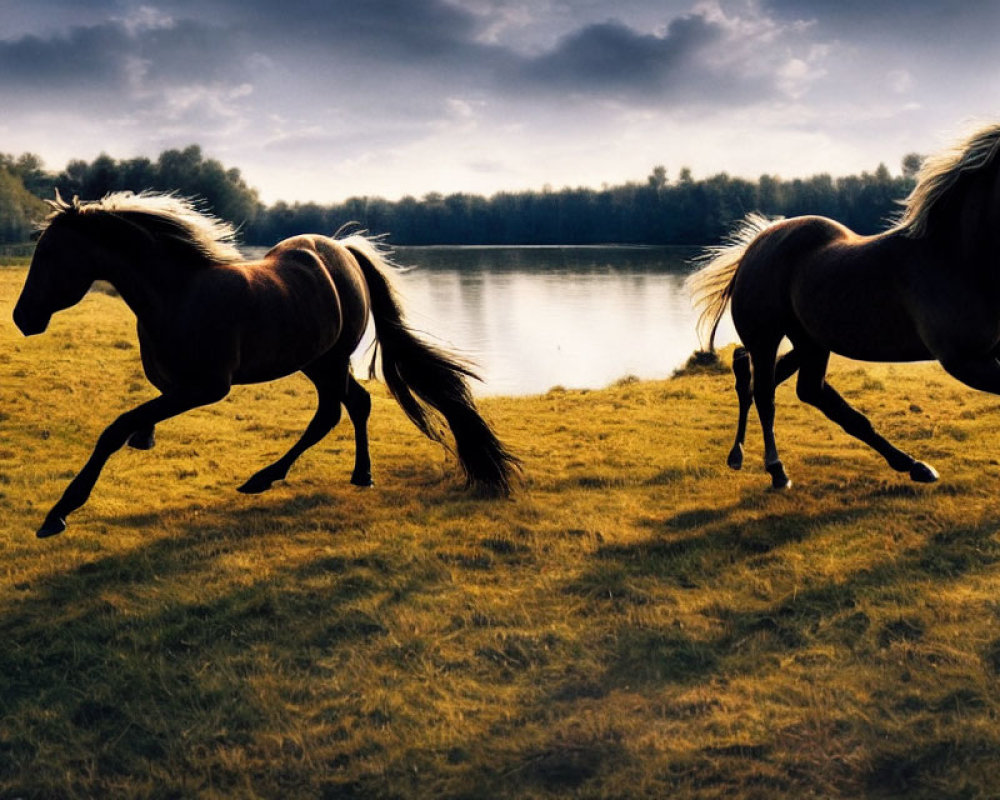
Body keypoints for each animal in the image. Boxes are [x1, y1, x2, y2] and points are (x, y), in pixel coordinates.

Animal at [13, 192, 516, 536]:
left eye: (52, 254)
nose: (22, 317)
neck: (177, 296)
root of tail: (345, 251)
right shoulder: (174, 387)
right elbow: (137, 418)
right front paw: (144, 438)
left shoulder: (205, 388)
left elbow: (114, 429)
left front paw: (58, 513)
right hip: (315, 360)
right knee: (355, 404)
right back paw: (359, 474)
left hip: (331, 360)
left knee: (332, 412)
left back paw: (264, 478)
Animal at [692, 122, 1000, 490]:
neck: (958, 256)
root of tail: (753, 248)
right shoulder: (966, 360)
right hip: (767, 338)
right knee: (765, 392)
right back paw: (777, 470)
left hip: (810, 342)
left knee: (794, 387)